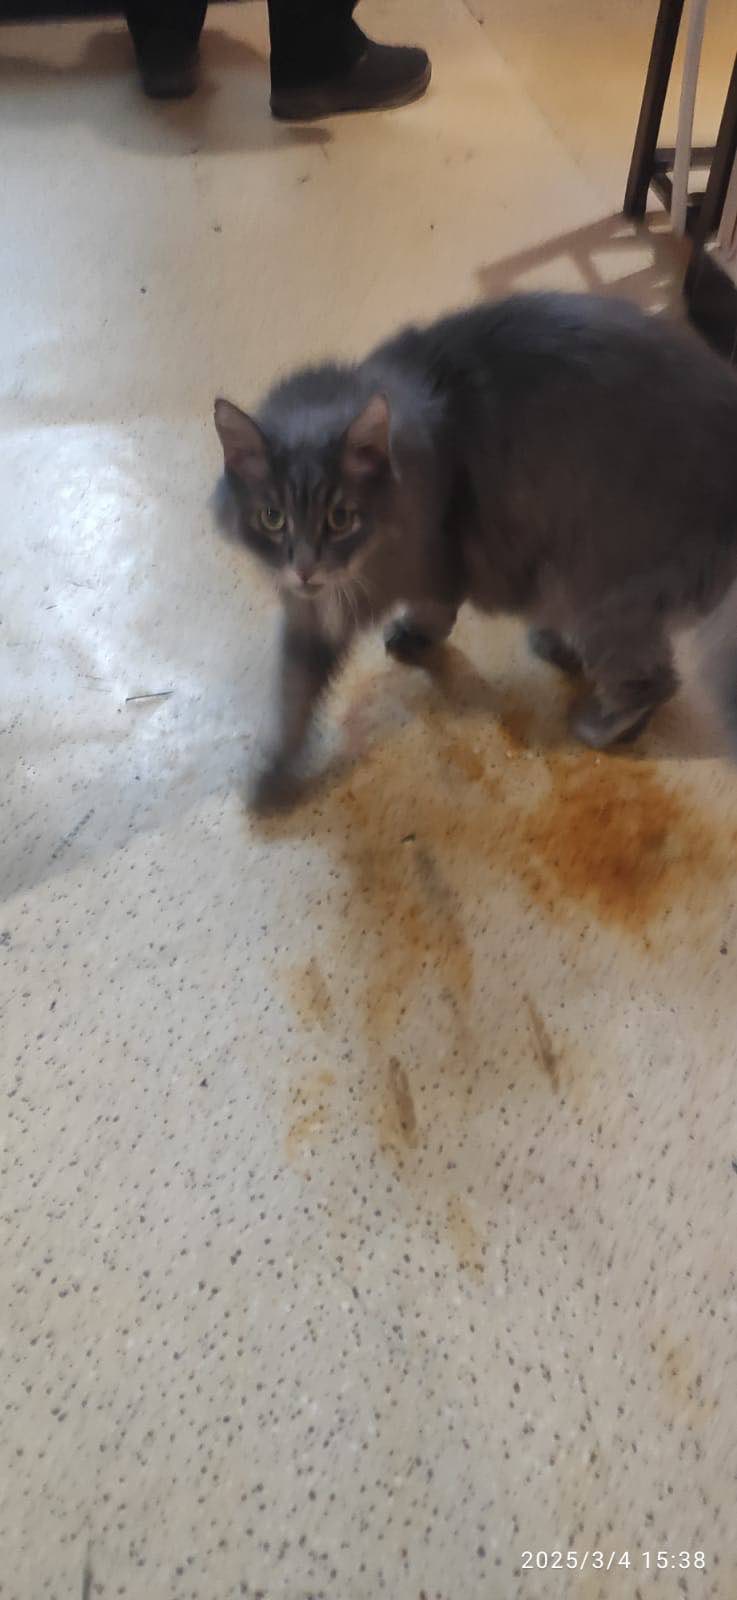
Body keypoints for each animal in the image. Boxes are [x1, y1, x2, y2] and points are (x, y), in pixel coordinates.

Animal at [214, 291, 737, 810]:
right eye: (272, 518)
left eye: (340, 518)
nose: (305, 568)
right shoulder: (312, 617)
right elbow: (294, 695)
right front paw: (274, 773)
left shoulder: (436, 561)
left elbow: (434, 612)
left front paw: (415, 637)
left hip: (599, 592)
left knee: (654, 680)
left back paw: (599, 725)